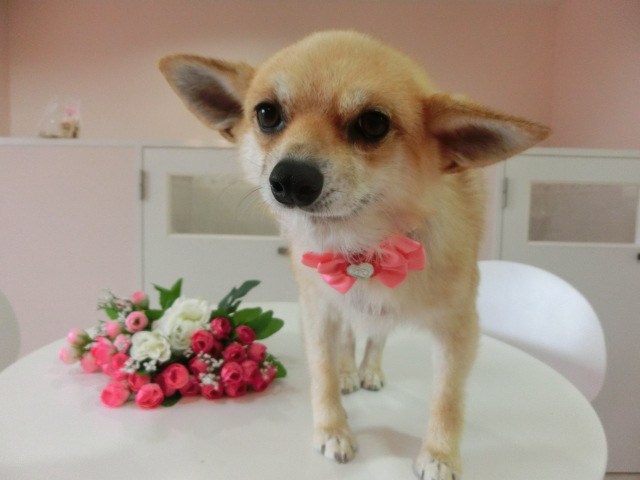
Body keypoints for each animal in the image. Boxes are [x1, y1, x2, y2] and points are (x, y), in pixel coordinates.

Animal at [159, 30, 550, 479]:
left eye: (373, 123)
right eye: (266, 114)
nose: (290, 177)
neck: (361, 247)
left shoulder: (458, 331)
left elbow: (447, 398)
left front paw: (439, 453)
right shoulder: (319, 310)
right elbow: (323, 373)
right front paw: (333, 428)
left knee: (377, 337)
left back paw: (369, 371)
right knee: (347, 338)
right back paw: (350, 372)